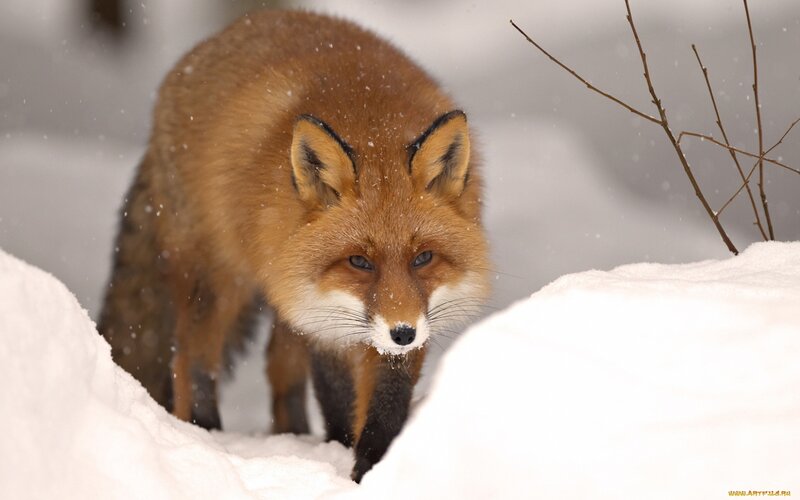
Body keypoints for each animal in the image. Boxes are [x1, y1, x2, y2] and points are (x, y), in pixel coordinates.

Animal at [98, 9, 490, 482]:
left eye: (424, 258)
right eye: (359, 261)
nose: (403, 332)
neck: (372, 123)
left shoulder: (392, 316)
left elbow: (386, 403)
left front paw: (374, 466)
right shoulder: (324, 317)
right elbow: (338, 396)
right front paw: (345, 454)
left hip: (284, 291)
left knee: (278, 366)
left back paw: (295, 435)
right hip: (219, 281)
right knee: (190, 359)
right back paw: (205, 432)